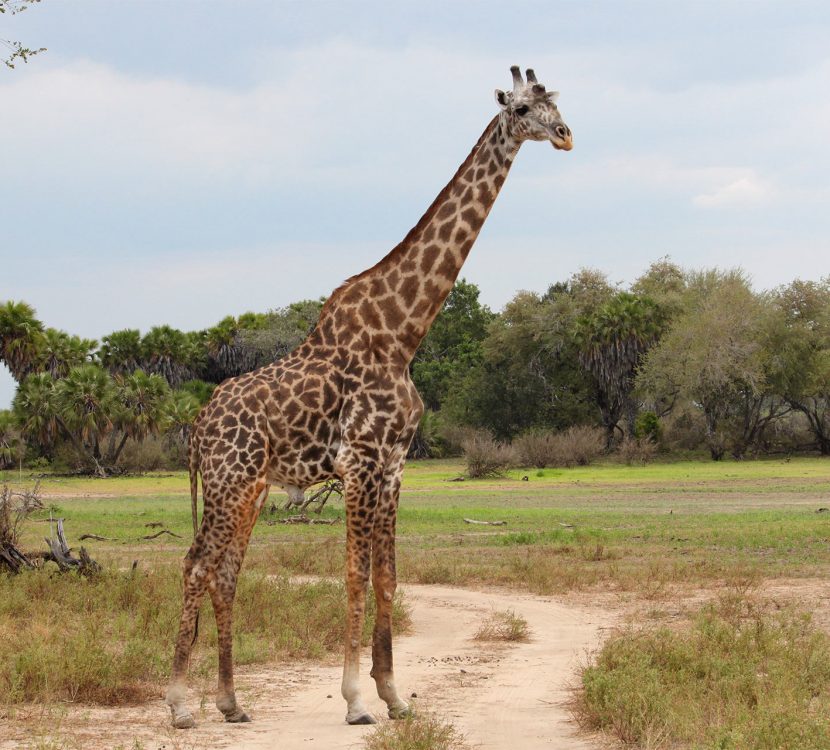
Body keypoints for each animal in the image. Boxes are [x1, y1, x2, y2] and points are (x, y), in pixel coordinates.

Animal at [166, 66, 576, 736]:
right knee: (197, 564)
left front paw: (394, 695)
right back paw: (179, 704)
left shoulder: (394, 464)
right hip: (230, 480)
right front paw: (356, 700)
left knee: (225, 573)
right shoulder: (358, 460)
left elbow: (388, 576)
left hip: (251, 489)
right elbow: (355, 575)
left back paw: (231, 703)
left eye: (555, 101)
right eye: (521, 108)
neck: (403, 333)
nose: (565, 135)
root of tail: (198, 426)